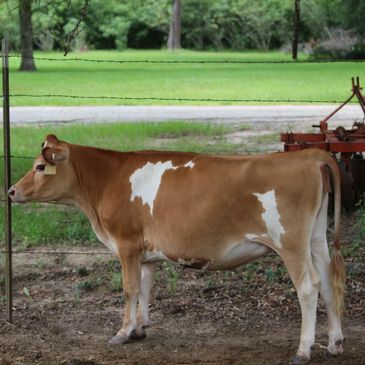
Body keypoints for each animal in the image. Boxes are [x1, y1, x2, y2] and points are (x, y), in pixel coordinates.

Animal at [7, 134, 344, 364]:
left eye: (40, 166)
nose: (10, 191)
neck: (108, 180)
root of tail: (311, 155)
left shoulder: (126, 244)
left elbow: (129, 289)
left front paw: (121, 333)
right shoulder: (144, 252)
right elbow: (145, 288)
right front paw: (139, 330)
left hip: (290, 243)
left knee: (308, 286)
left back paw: (303, 350)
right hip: (316, 238)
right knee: (329, 282)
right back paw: (334, 343)